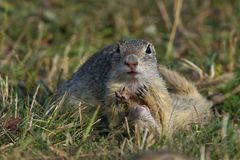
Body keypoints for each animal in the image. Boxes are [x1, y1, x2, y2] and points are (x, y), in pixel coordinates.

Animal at [58, 38, 212, 134]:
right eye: (118, 49)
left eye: (148, 49)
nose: (131, 61)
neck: (133, 84)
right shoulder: (111, 91)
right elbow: (115, 118)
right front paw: (123, 99)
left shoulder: (159, 89)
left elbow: (162, 115)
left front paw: (144, 96)